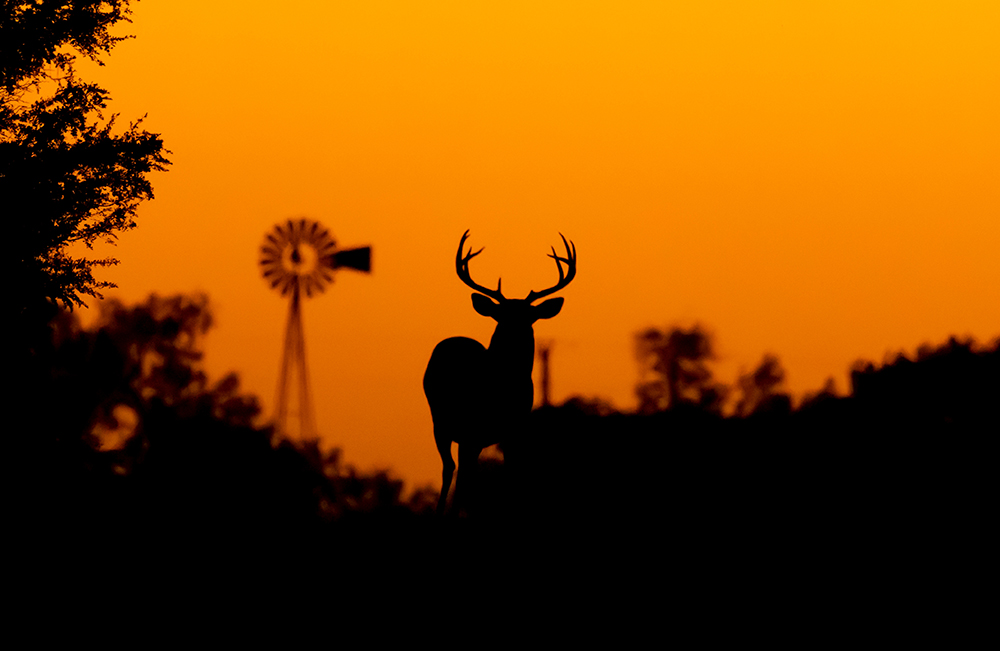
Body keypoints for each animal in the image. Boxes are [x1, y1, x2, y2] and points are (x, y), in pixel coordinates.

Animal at [423, 230, 577, 516]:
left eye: (530, 316)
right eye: (501, 315)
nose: (515, 332)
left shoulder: (513, 429)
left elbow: (510, 472)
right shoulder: (471, 426)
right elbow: (464, 474)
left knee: (463, 469)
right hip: (442, 422)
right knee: (451, 468)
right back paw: (444, 511)